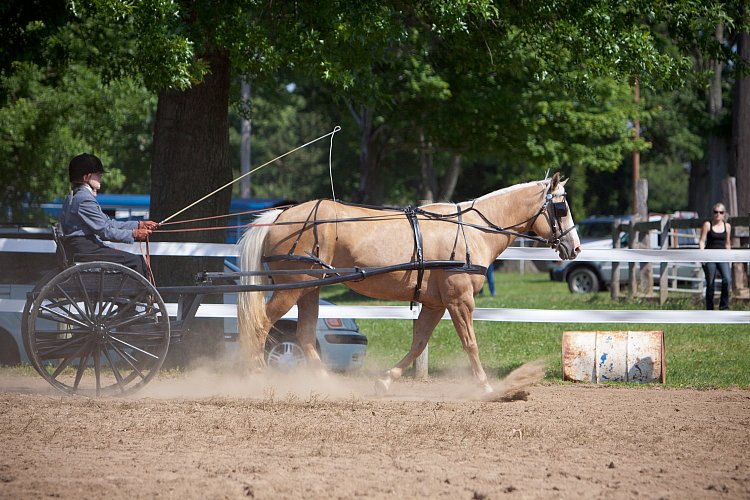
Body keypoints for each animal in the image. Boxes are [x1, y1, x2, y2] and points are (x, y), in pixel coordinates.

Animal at [238, 174, 580, 392]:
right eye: (561, 207)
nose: (575, 248)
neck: (472, 229)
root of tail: (281, 216)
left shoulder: (435, 304)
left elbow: (418, 344)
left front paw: (386, 380)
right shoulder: (460, 300)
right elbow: (470, 343)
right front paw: (485, 386)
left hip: (309, 289)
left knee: (306, 335)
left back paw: (326, 383)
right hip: (293, 287)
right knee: (261, 324)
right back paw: (254, 375)